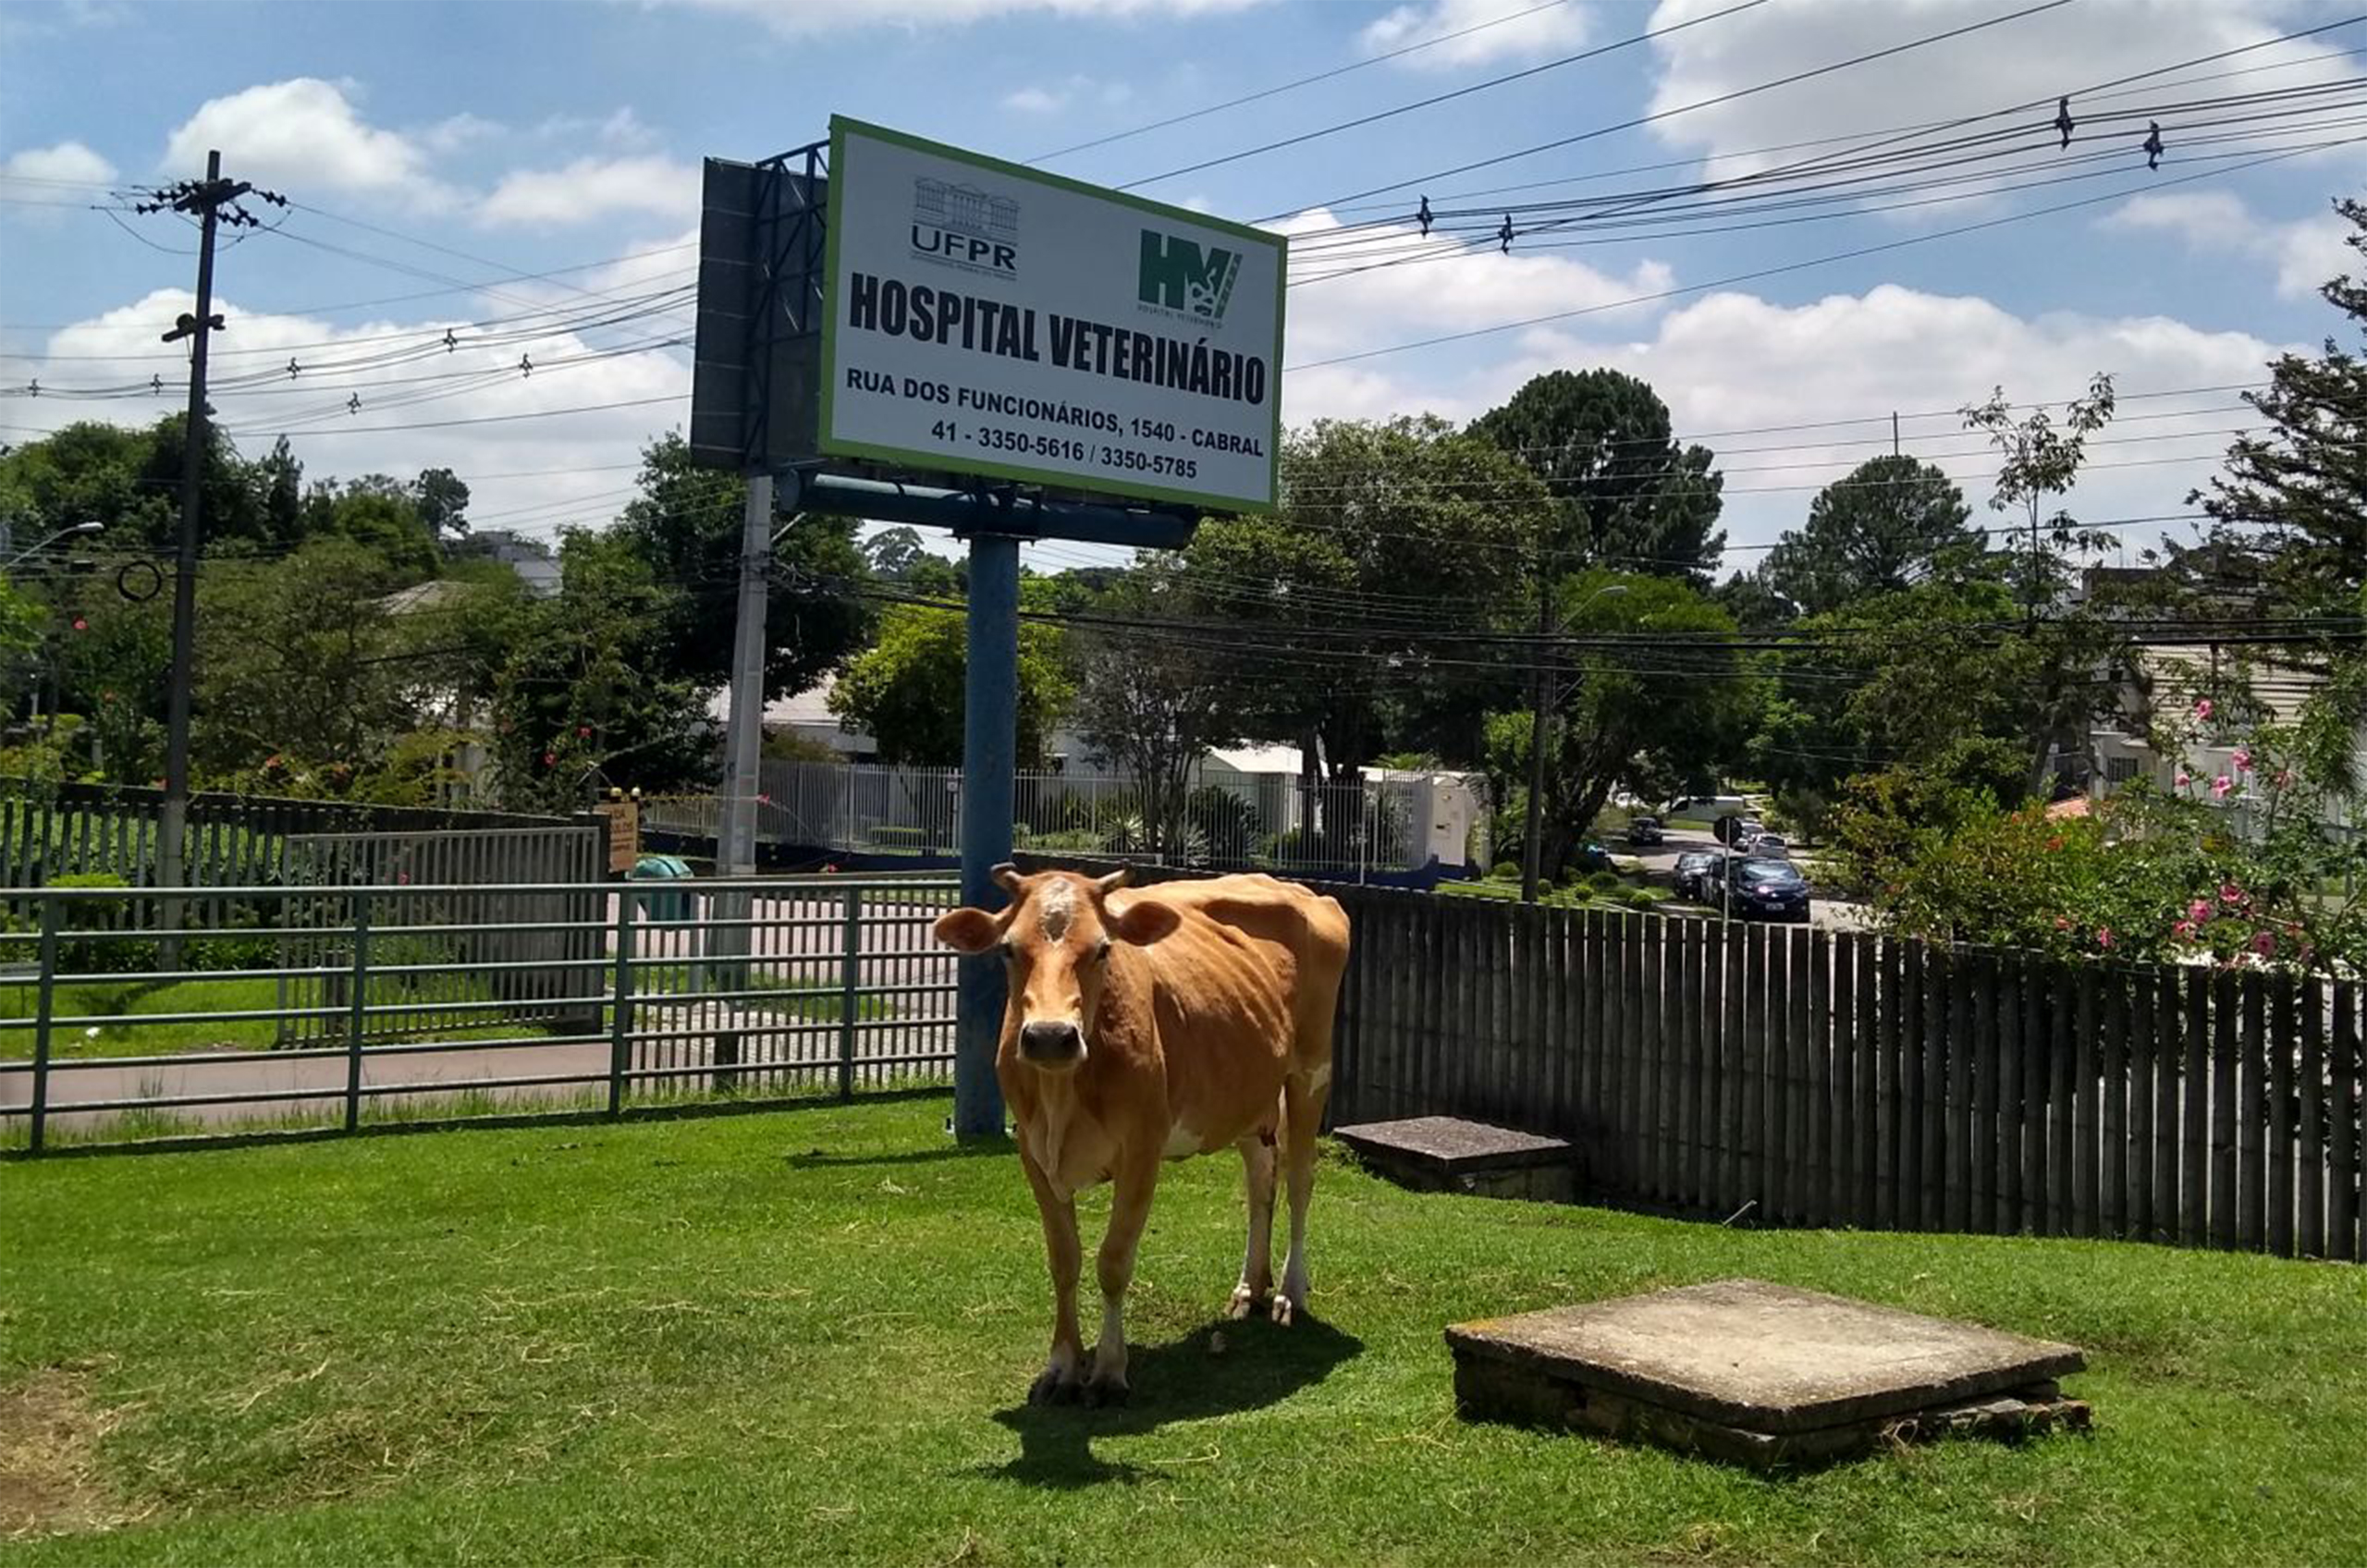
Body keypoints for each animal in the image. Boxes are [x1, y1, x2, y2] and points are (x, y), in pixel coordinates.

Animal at [937, 866, 1354, 1402]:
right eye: (1008, 949)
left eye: (1102, 949)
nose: (1050, 1037)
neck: (1061, 1093)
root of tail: (1299, 889)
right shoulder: (1033, 1152)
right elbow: (1064, 1261)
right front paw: (1062, 1366)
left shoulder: (1141, 1151)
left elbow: (1113, 1261)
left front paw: (1109, 1370)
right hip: (1245, 1087)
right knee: (1261, 1180)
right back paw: (1249, 1287)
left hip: (1310, 1072)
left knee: (1300, 1181)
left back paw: (1288, 1292)